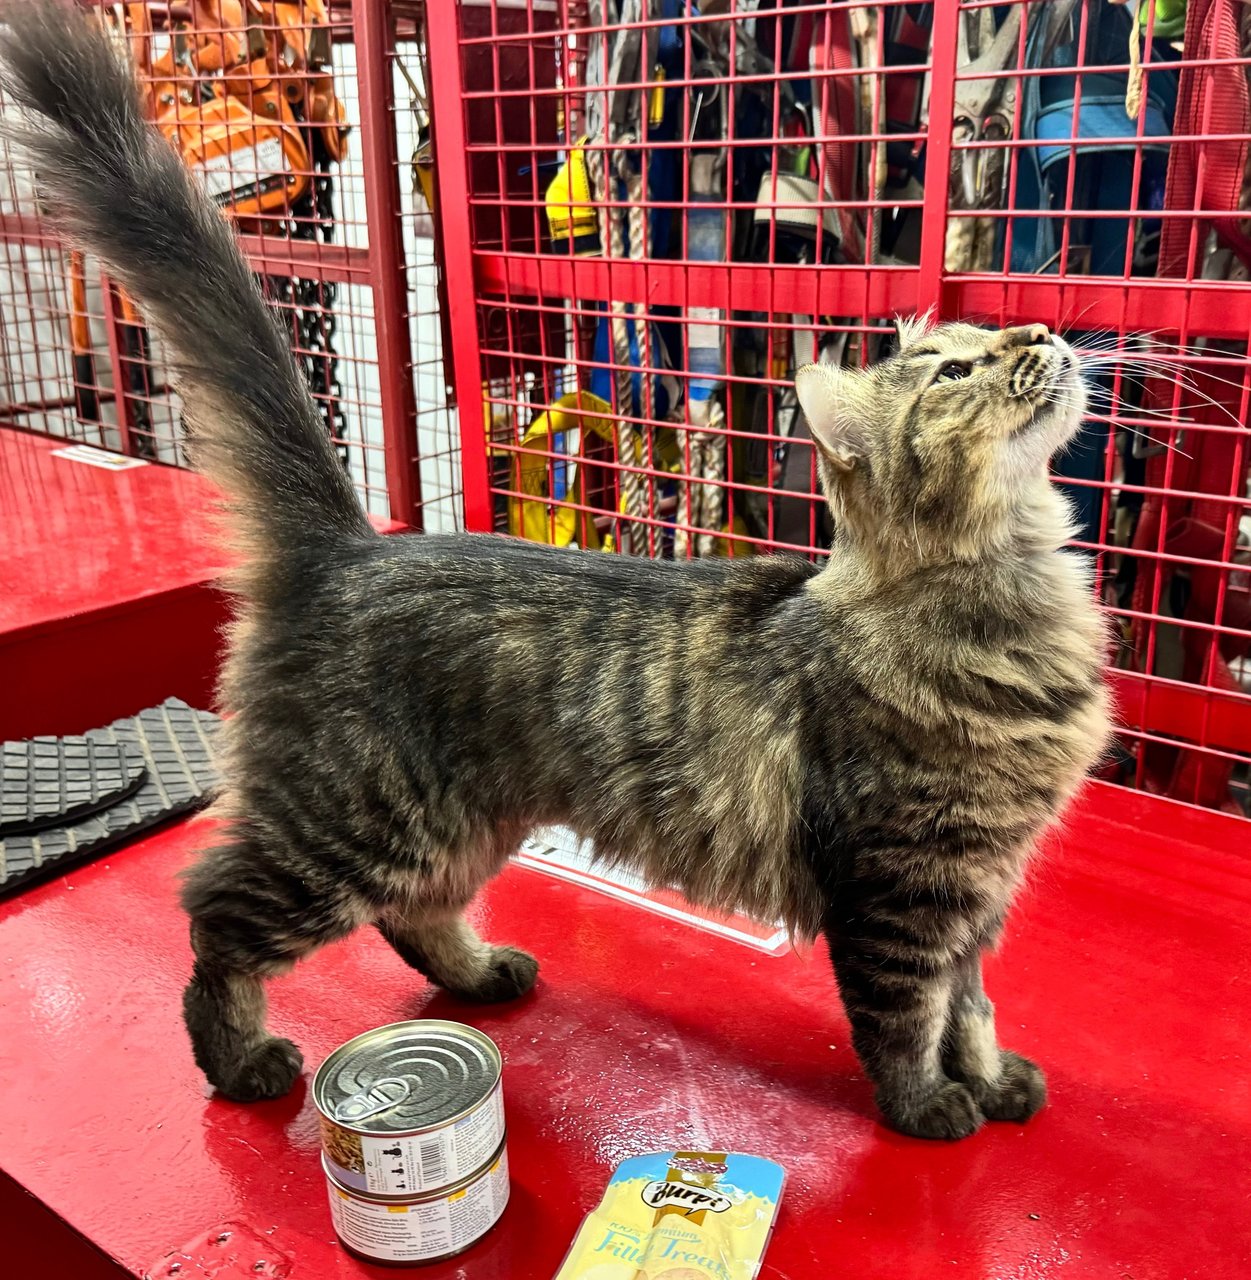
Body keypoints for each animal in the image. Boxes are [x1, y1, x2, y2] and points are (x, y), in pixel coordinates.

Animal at [4, 0, 1106, 1141]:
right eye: (958, 369)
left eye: (987, 340)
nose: (1042, 328)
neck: (1018, 596)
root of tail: (351, 544)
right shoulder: (898, 886)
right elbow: (906, 1015)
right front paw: (930, 1104)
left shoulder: (978, 886)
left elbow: (972, 1005)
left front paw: (992, 1076)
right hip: (347, 823)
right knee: (216, 916)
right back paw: (239, 1059)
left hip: (453, 823)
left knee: (410, 914)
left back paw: (479, 973)